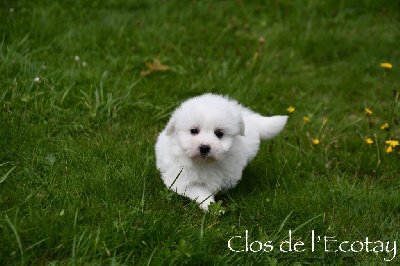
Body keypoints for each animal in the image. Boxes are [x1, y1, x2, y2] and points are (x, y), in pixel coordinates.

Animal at [154, 93, 288, 210]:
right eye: (193, 130)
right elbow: (200, 193)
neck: (206, 164)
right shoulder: (182, 180)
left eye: (219, 133)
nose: (204, 147)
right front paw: (212, 208)